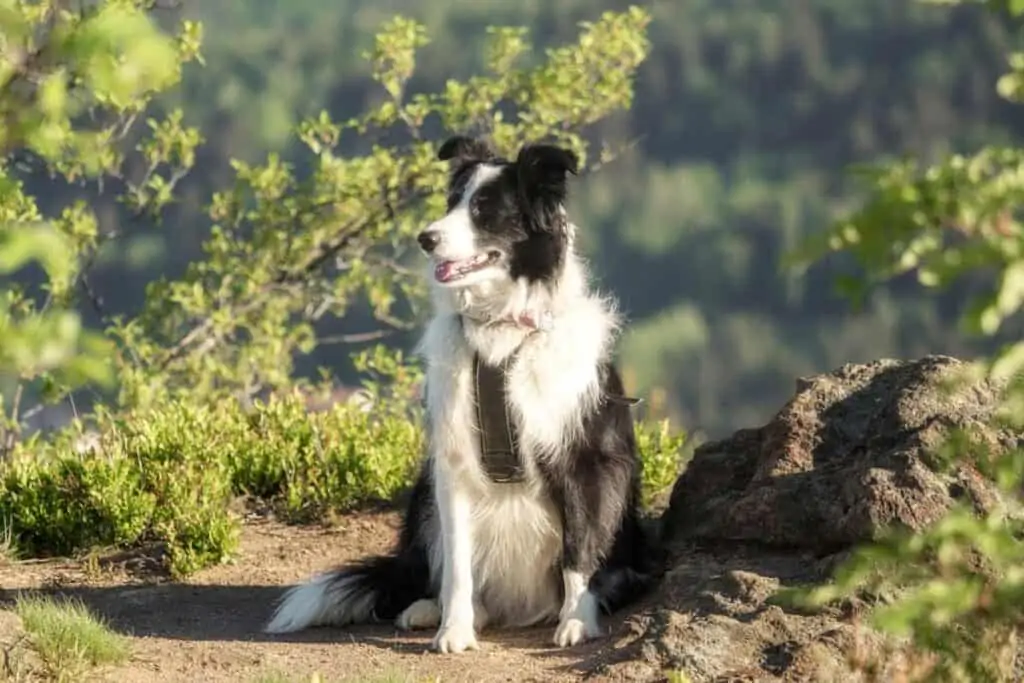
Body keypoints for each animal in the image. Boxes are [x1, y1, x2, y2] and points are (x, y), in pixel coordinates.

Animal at [264, 133, 655, 651]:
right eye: (452, 202)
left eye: (484, 209)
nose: (425, 238)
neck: (502, 328)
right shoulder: (452, 465)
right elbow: (457, 568)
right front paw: (454, 630)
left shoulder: (585, 460)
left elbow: (581, 550)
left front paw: (577, 621)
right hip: (424, 498)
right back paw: (434, 610)